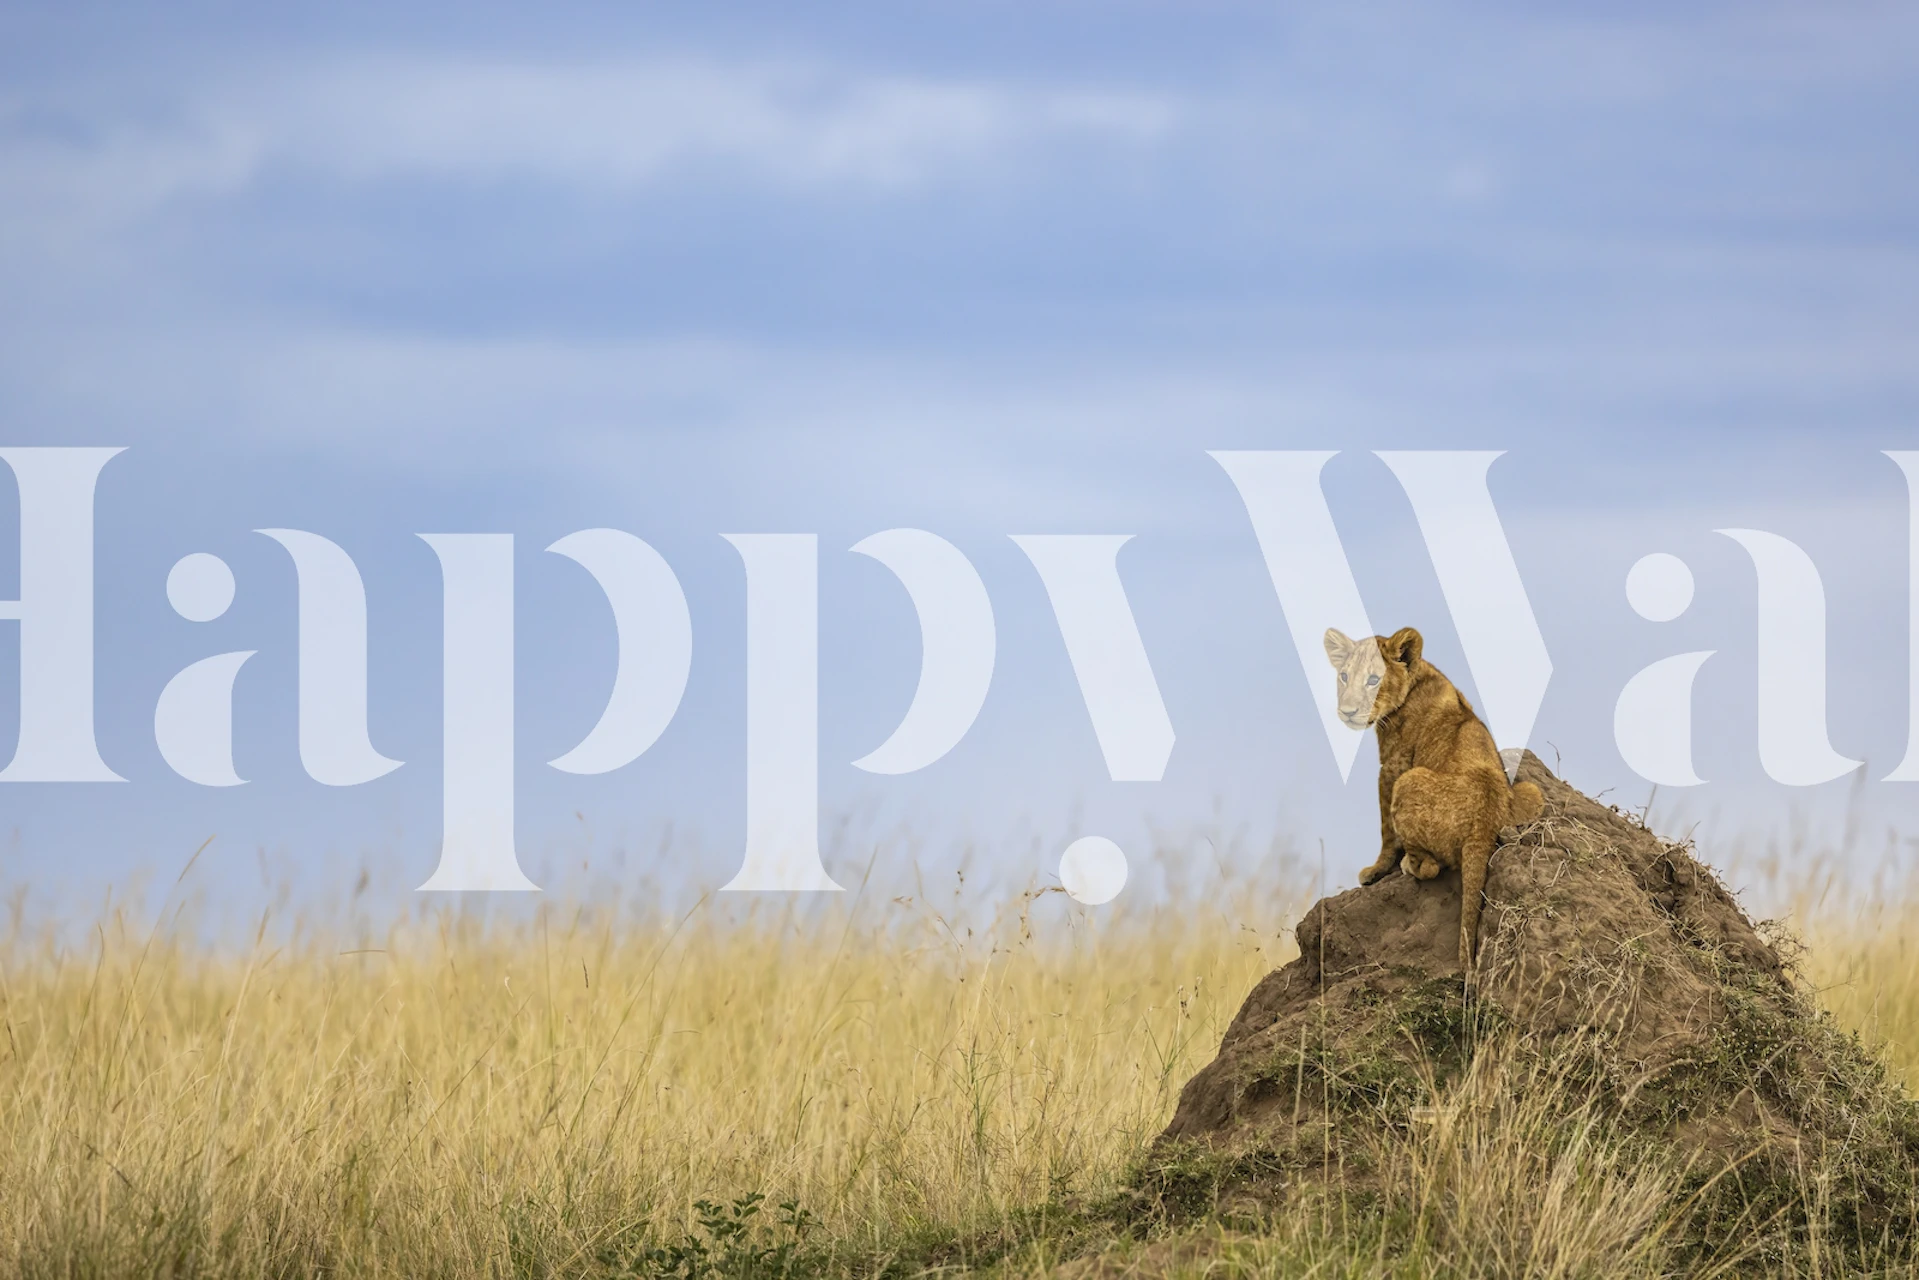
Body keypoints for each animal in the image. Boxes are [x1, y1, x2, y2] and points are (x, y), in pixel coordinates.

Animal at [1323, 625, 1543, 989]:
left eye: (1373, 679)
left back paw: (1409, 866)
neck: (1419, 678)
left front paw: (1376, 870)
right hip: (1531, 790)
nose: (1348, 712)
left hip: (1410, 780)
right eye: (1343, 676)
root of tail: (1484, 823)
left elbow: (1386, 830)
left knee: (1431, 868)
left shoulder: (1393, 768)